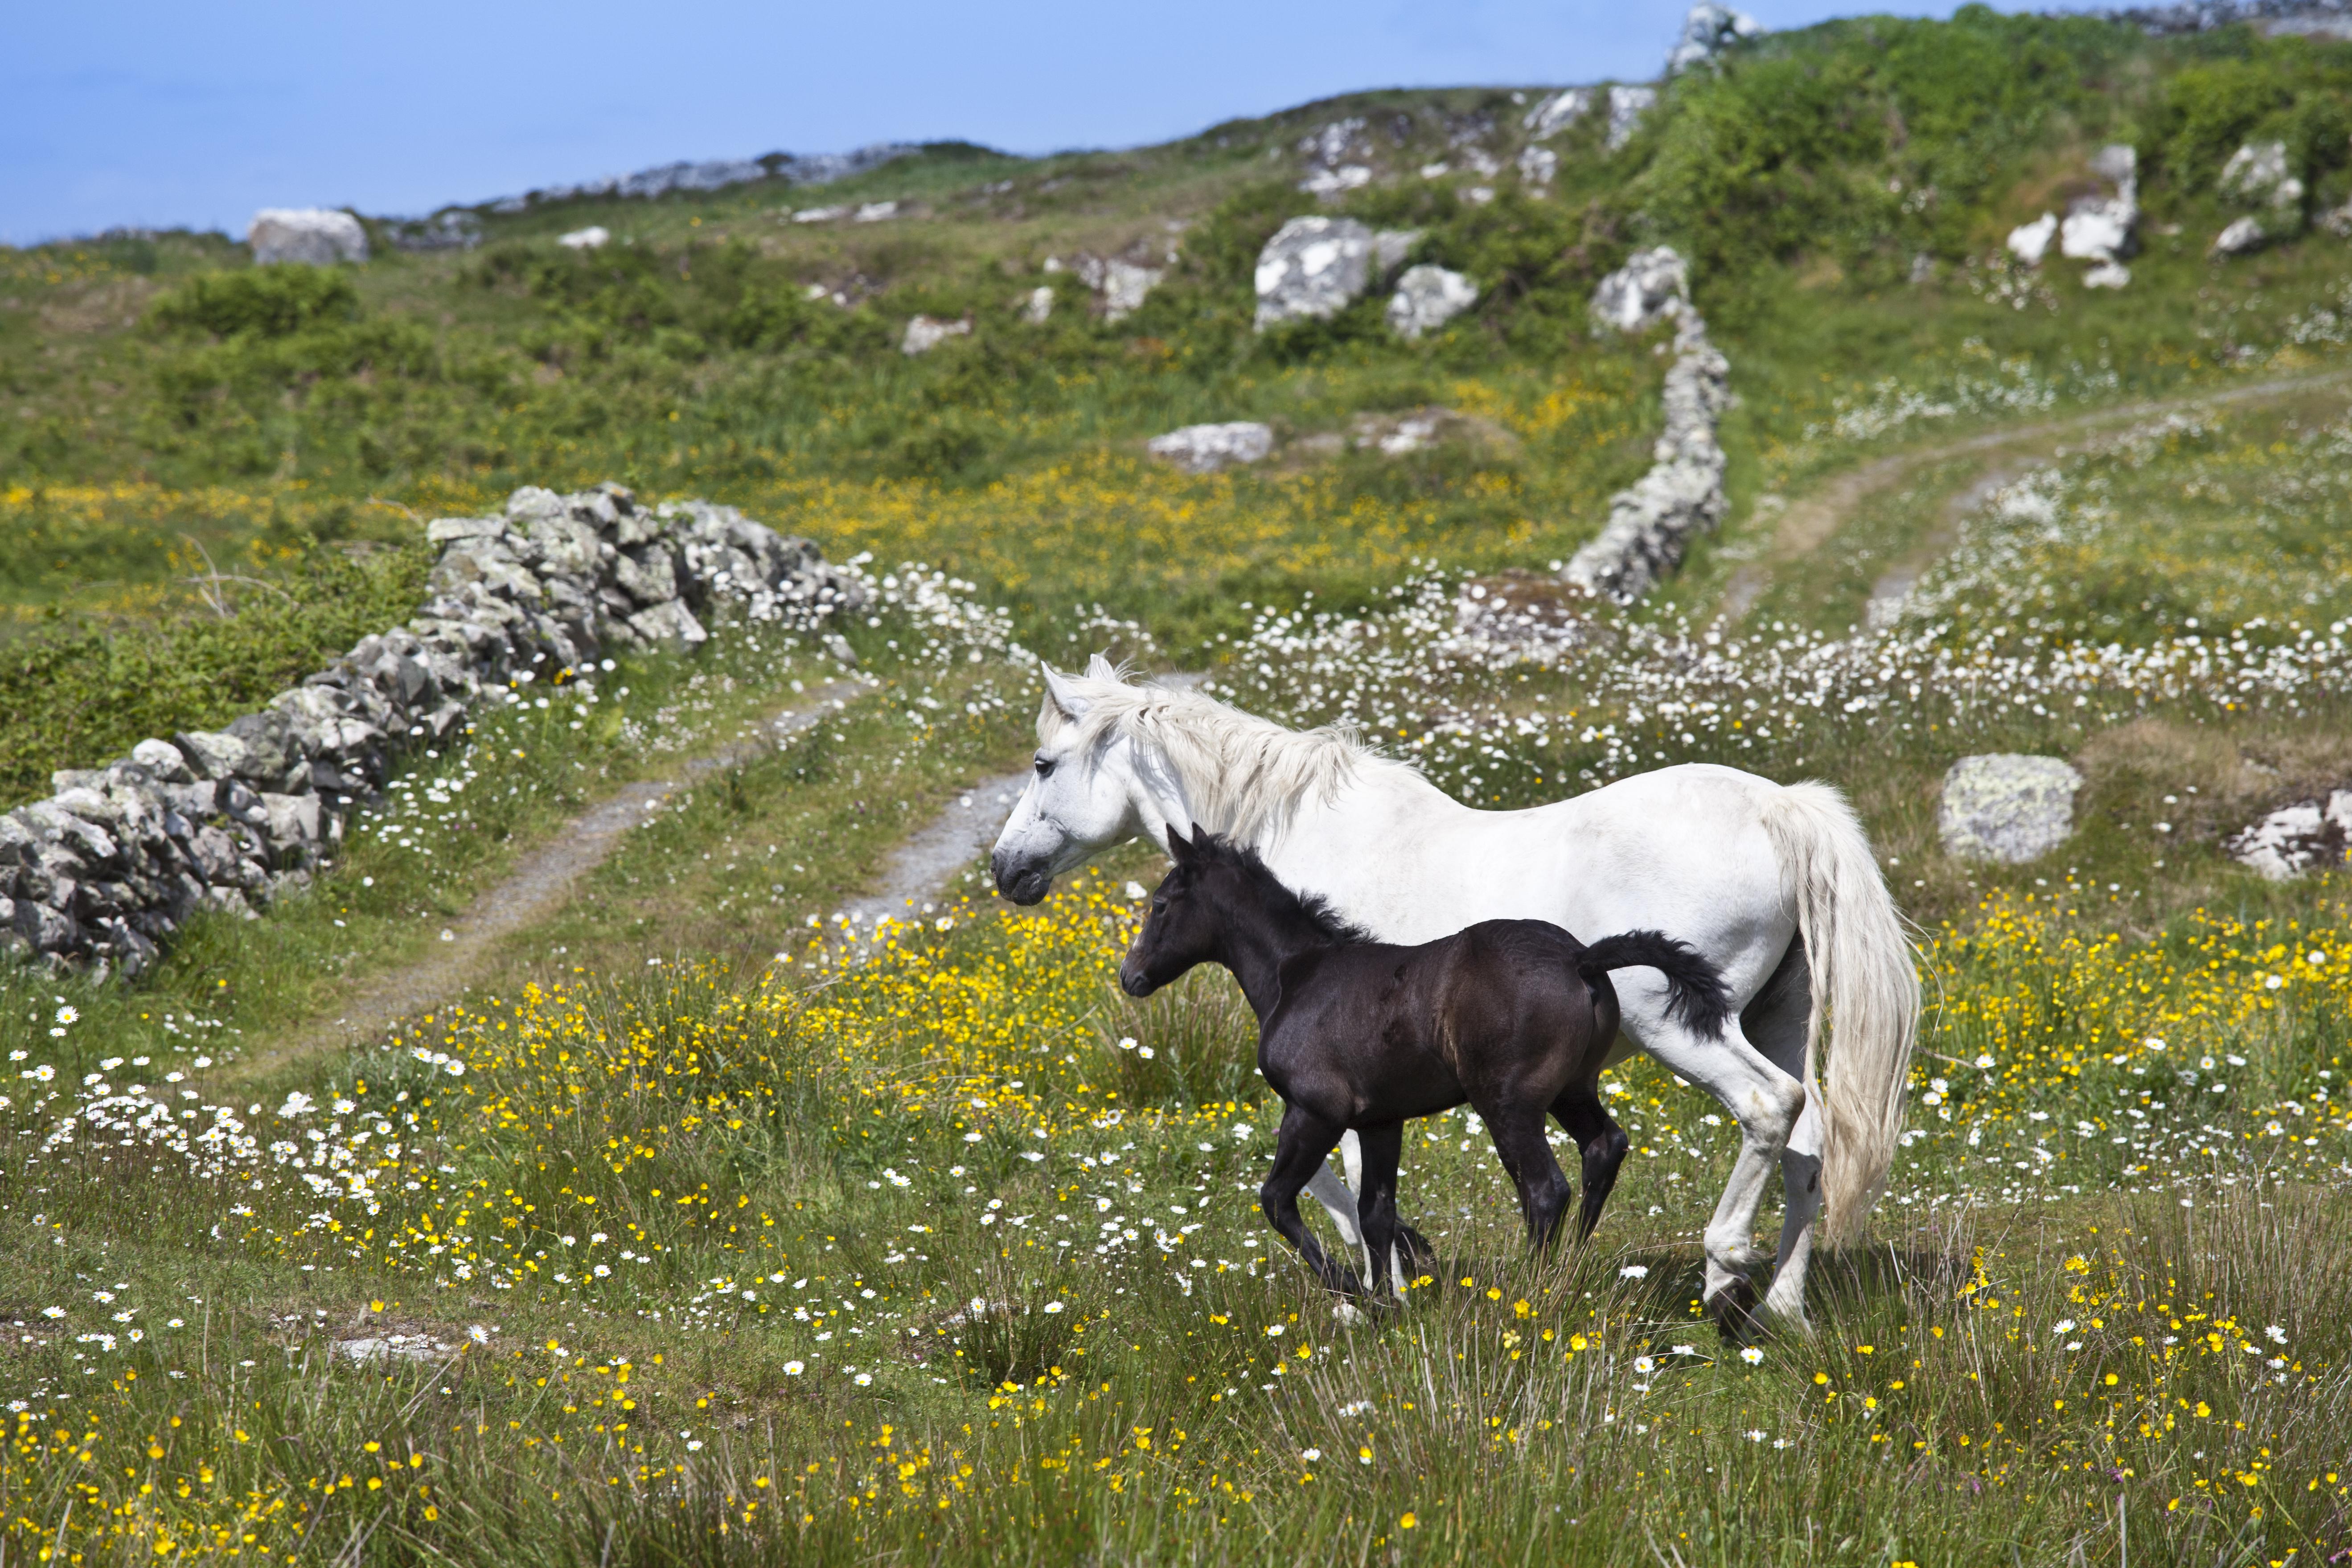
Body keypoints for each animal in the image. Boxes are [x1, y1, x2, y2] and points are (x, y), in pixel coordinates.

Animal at [1120, 825, 1733, 1300]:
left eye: (1159, 904)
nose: (1131, 976)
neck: (1295, 975)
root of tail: (1581, 957)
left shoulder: (1314, 1110)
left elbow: (1277, 1200)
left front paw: (1353, 1289)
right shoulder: (1380, 1120)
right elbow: (1376, 1212)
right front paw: (1388, 1301)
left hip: (1507, 1102)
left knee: (1544, 1189)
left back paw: (1531, 1289)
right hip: (1571, 1088)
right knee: (1603, 1148)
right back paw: (1571, 1268)